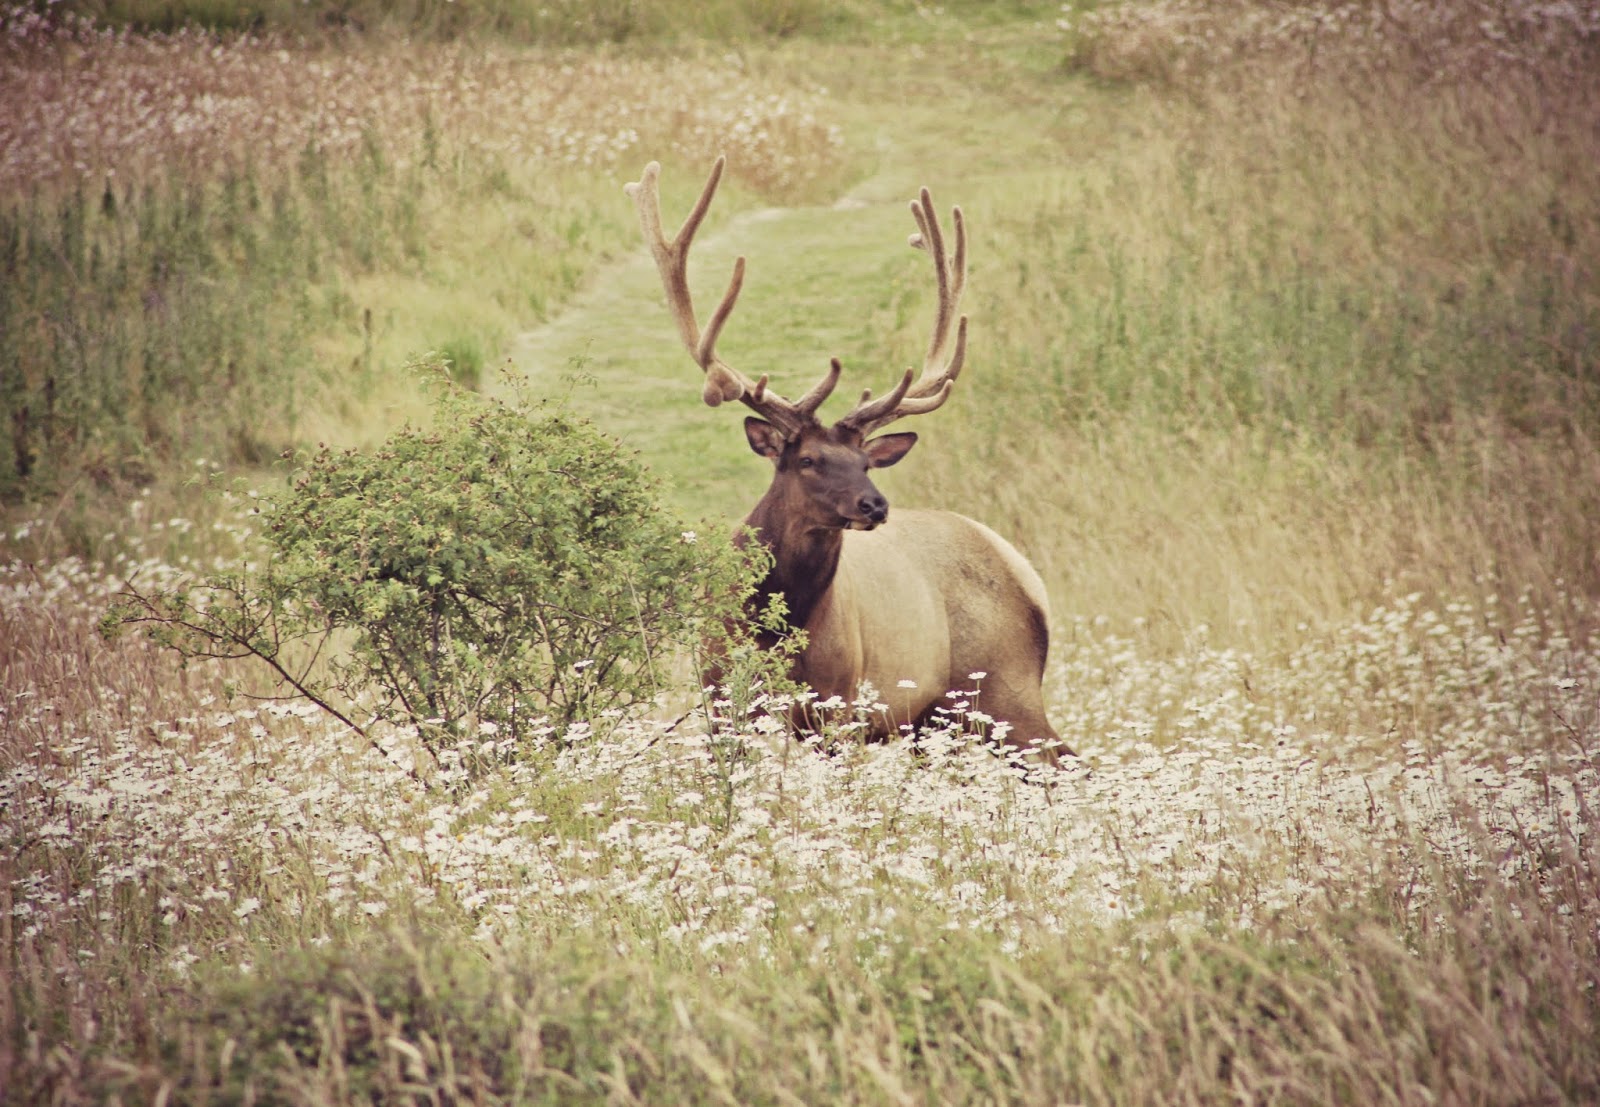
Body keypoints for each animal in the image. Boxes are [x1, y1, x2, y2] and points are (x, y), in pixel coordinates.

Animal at [625, 157, 1069, 764]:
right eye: (809, 460)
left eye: (866, 462)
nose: (875, 505)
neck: (775, 630)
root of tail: (1028, 576)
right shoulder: (720, 699)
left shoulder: (841, 704)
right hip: (937, 718)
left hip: (1003, 682)